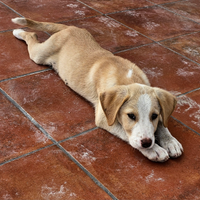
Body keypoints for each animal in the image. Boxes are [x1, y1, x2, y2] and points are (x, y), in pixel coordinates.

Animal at [10, 16, 183, 161]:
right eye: (131, 116)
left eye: (154, 116)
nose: (147, 143)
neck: (128, 78)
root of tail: (71, 28)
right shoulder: (104, 117)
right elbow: (126, 133)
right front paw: (155, 149)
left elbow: (162, 124)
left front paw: (170, 141)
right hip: (39, 55)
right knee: (32, 37)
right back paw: (18, 32)